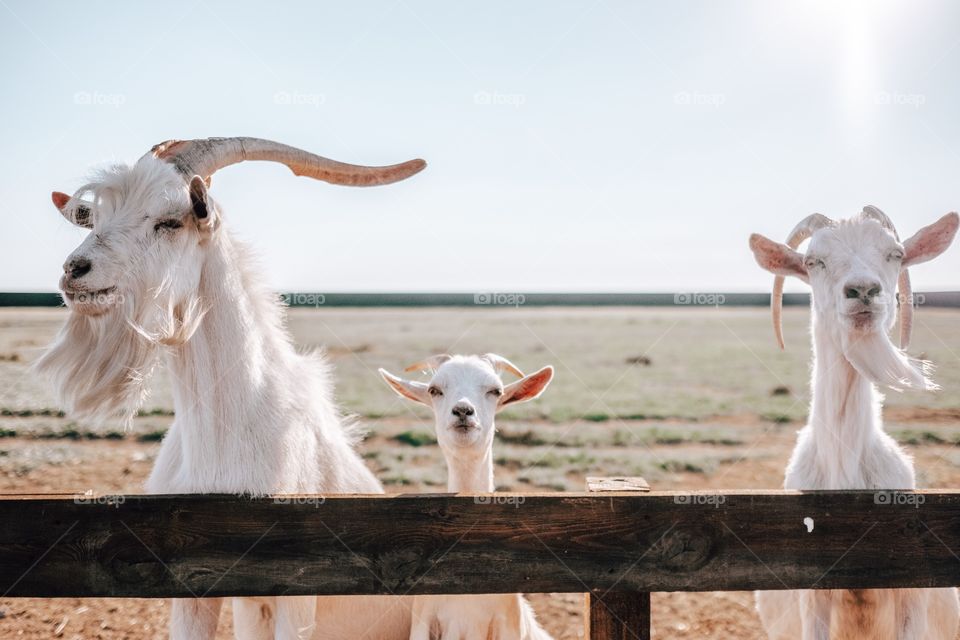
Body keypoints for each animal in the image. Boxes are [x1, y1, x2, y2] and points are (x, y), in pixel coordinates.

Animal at [36, 138, 428, 640]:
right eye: (97, 218)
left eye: (171, 220)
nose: (75, 269)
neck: (222, 436)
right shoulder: (191, 587)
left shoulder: (297, 592)